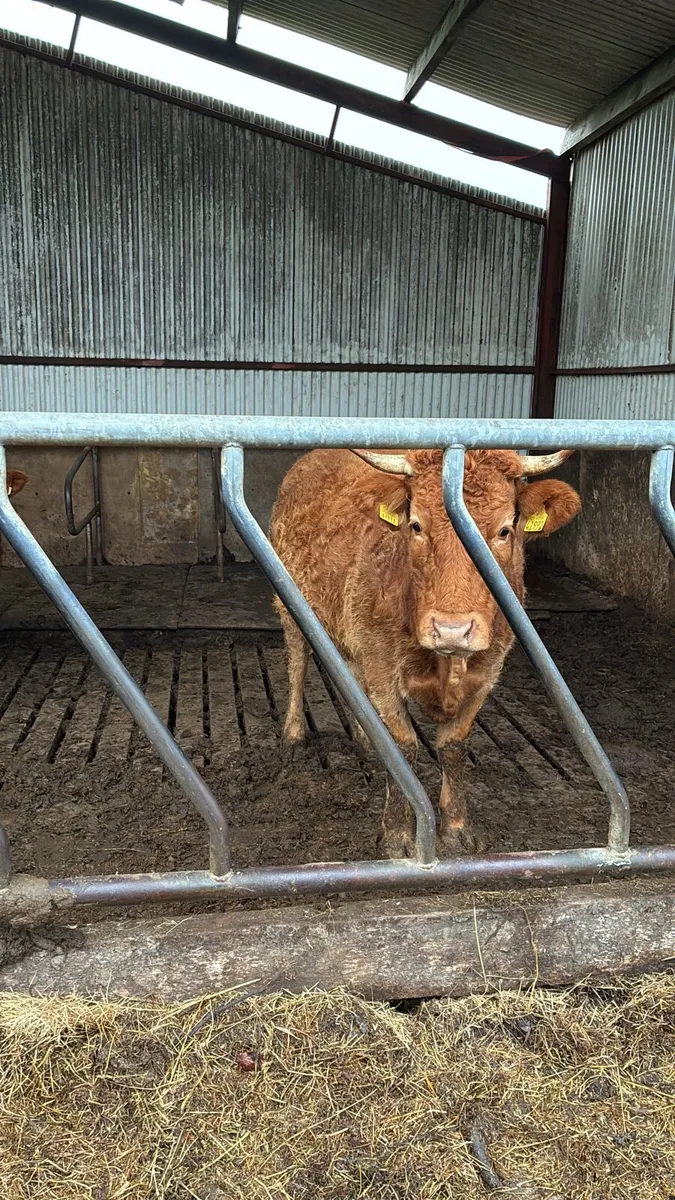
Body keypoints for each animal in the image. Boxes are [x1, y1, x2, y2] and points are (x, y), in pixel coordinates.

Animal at [270, 448, 581, 859]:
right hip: (290, 605)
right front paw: (398, 835)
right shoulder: (383, 669)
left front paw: (457, 828)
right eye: (416, 525)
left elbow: (453, 746)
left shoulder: (487, 673)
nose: (452, 629)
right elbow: (404, 746)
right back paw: (293, 735)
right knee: (298, 663)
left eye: (504, 530)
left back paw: (365, 736)